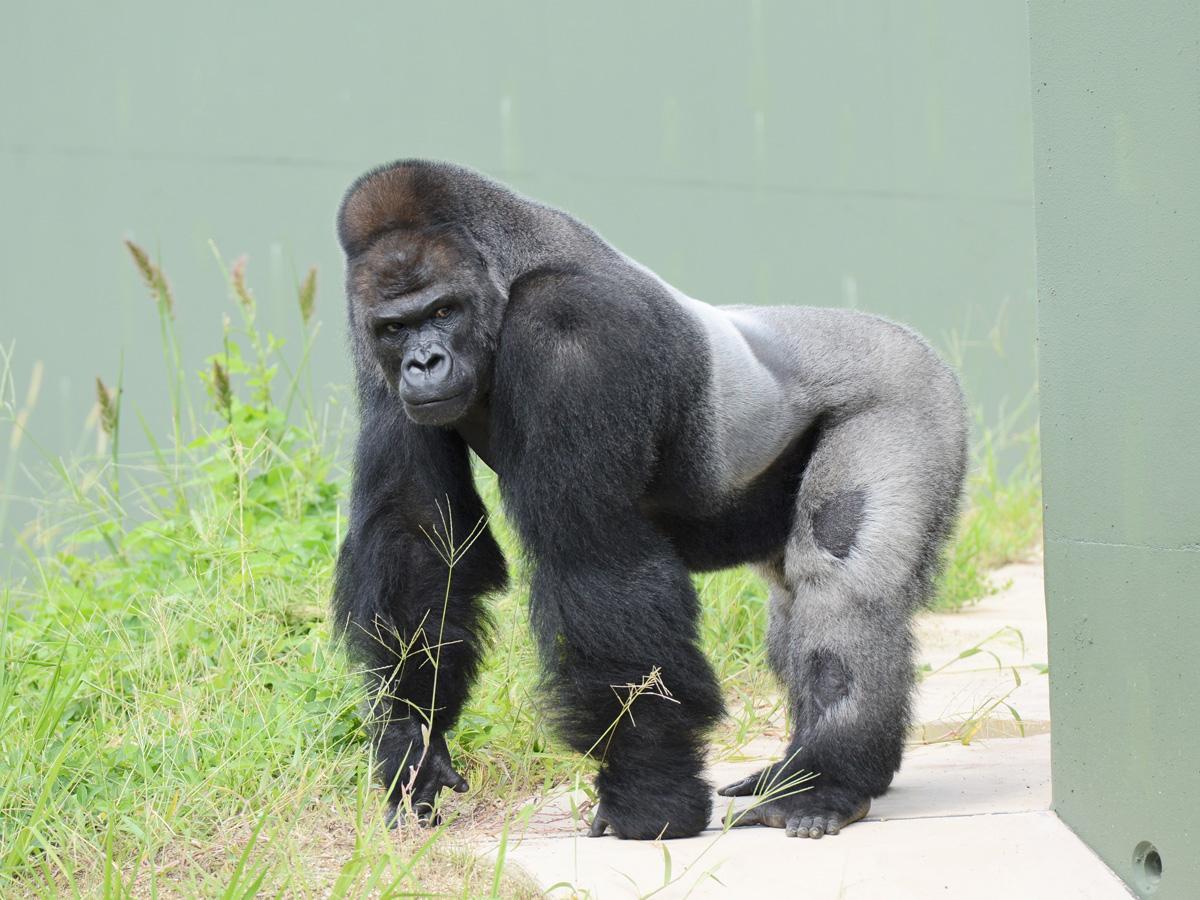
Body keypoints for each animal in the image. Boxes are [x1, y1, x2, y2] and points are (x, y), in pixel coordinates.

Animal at [333, 158, 969, 844]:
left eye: (444, 309)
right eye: (397, 327)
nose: (424, 362)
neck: (505, 276)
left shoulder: (573, 333)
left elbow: (599, 564)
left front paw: (649, 796)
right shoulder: (372, 354)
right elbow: (420, 538)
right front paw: (411, 738)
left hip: (908, 390)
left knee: (841, 584)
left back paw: (826, 782)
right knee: (790, 604)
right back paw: (800, 774)